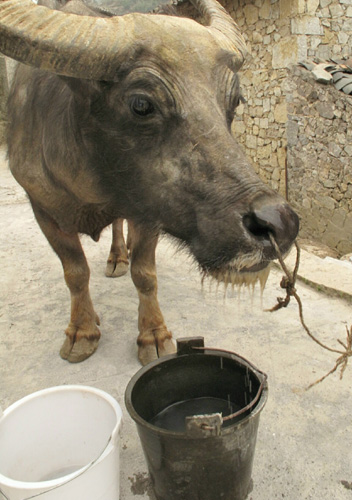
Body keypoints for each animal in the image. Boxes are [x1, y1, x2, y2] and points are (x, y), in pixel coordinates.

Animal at [0, 0, 300, 364]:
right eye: (141, 103)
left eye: (234, 100)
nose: (278, 222)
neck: (95, 180)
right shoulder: (42, 207)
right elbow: (75, 272)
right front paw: (81, 331)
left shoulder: (148, 213)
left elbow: (144, 274)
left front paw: (154, 336)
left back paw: (118, 256)